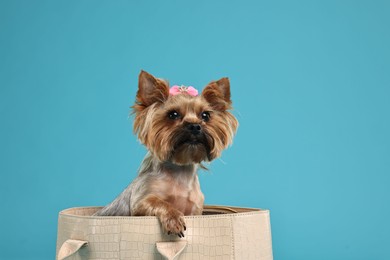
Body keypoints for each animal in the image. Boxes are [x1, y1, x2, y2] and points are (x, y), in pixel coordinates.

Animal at [95, 69, 238, 238]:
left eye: (205, 115)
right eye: (173, 114)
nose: (195, 126)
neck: (180, 170)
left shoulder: (194, 210)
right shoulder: (141, 202)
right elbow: (160, 202)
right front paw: (174, 220)